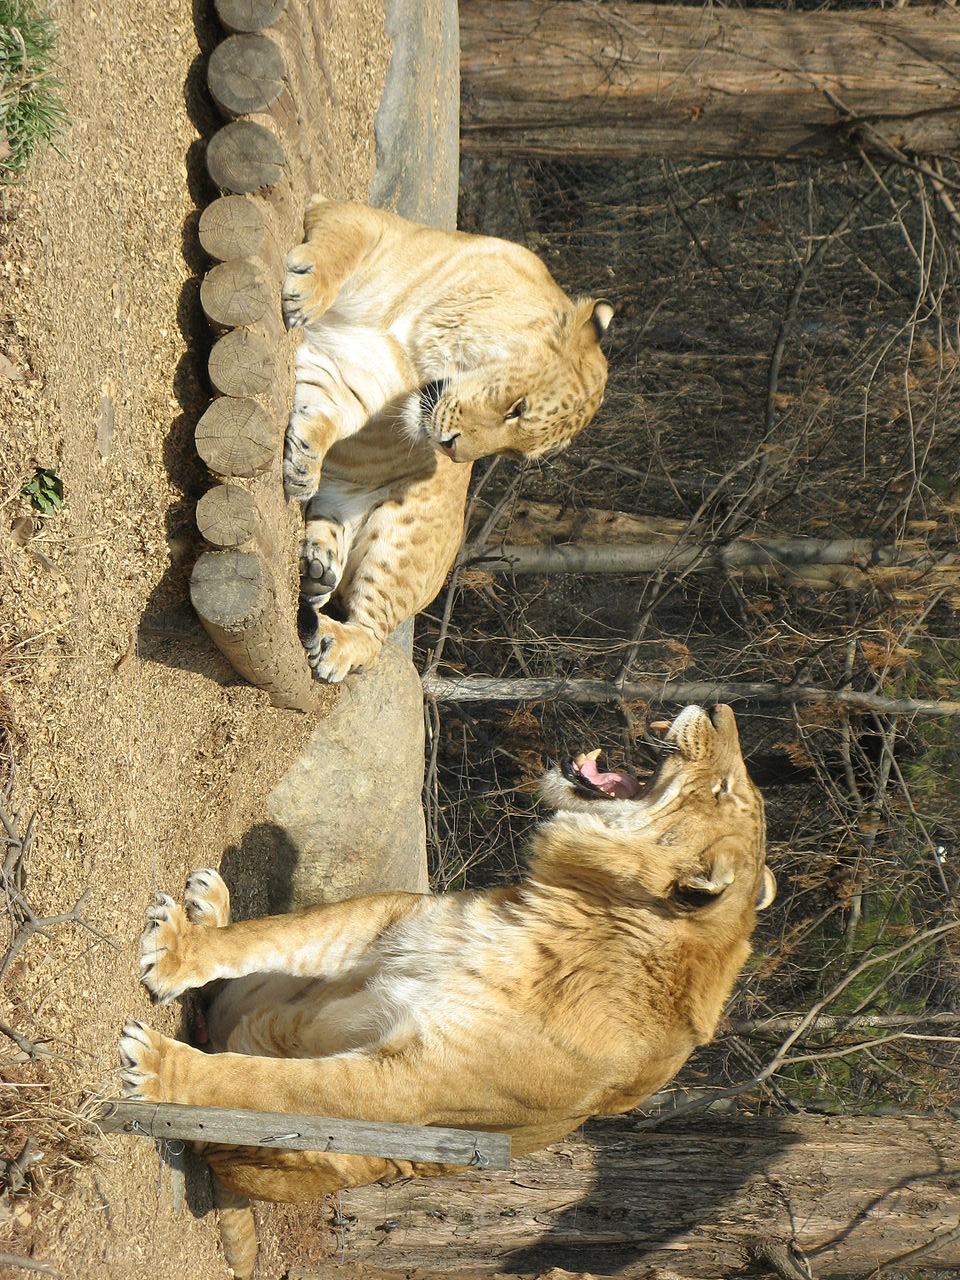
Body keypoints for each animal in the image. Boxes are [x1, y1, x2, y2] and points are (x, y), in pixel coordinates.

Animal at [120, 704, 775, 1277]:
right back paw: (209, 906)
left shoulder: (409, 1087)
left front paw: (156, 1067)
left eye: (721, 790)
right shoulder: (387, 923)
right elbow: (272, 935)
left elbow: (271, 1085)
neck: (573, 916)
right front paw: (179, 952)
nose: (718, 710)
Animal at [279, 199, 613, 682]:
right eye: (517, 408)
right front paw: (306, 288)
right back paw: (316, 568)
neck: (423, 341)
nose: (454, 453)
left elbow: (328, 414)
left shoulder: (359, 380)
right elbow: (342, 245)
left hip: (402, 541)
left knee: (372, 639)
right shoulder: (366, 223)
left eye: (516, 450)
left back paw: (330, 637)